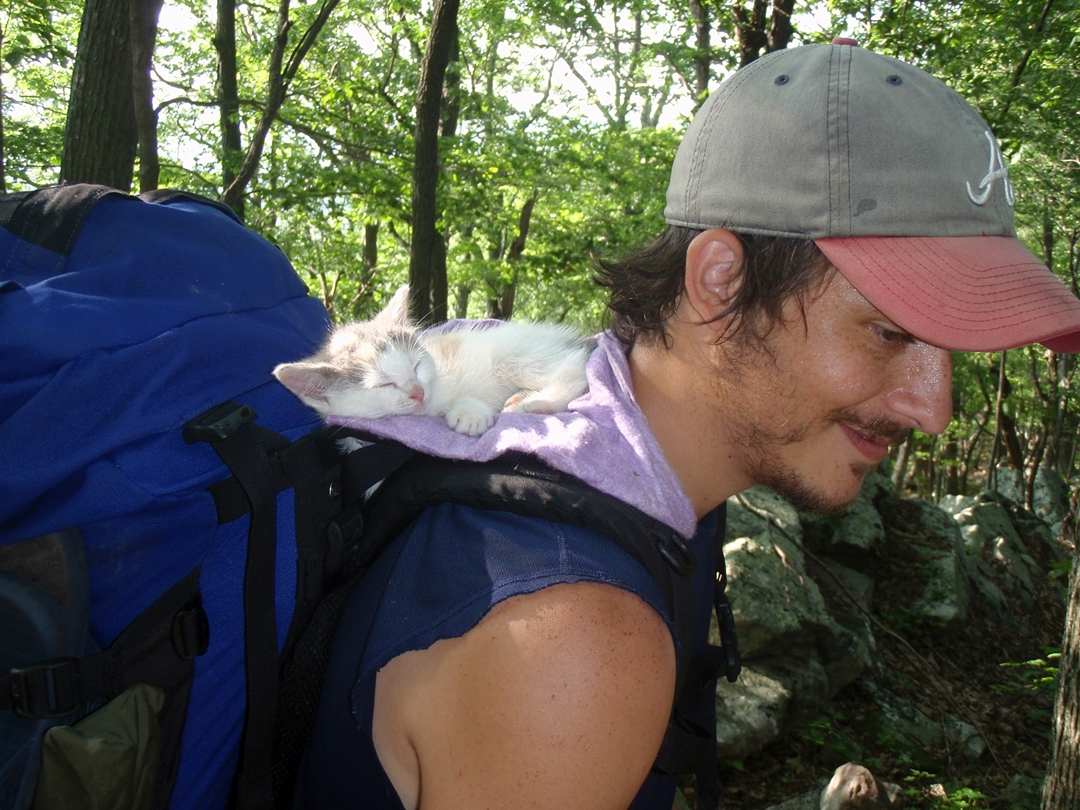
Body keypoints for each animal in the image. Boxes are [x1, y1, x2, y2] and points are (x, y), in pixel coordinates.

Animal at [270, 287, 591, 438]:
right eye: (385, 384)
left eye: (416, 365)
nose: (418, 392)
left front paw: (468, 412)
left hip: (515, 353)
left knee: (574, 368)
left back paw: (537, 402)